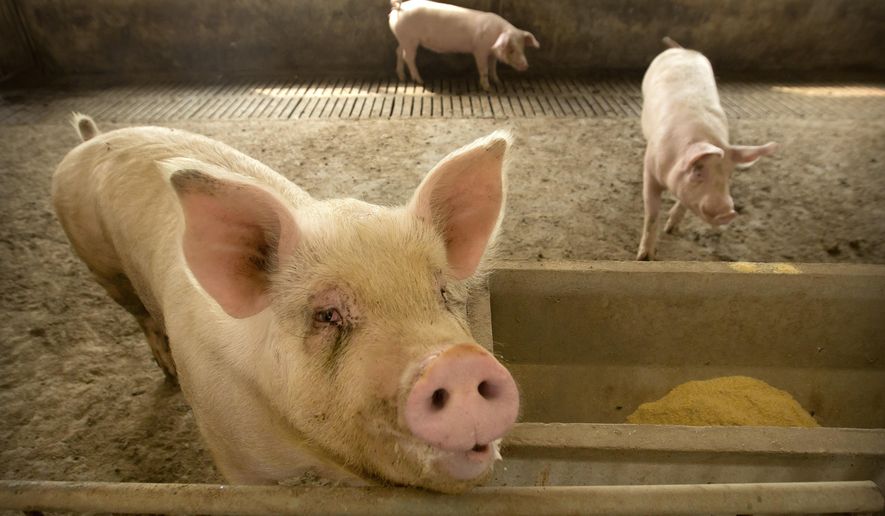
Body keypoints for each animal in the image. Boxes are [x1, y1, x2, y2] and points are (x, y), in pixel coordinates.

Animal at [52, 113, 520, 493]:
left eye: (441, 294)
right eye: (327, 315)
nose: (457, 361)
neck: (314, 454)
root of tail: (93, 138)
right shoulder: (230, 452)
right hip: (102, 265)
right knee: (140, 315)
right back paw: (166, 372)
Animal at [388, 0, 540, 92]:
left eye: (522, 48)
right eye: (511, 49)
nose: (525, 66)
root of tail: (399, 7)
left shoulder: (491, 53)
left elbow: (493, 67)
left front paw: (498, 82)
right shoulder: (480, 50)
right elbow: (484, 69)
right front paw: (487, 88)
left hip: (402, 39)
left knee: (398, 52)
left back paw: (402, 77)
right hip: (410, 39)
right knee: (408, 57)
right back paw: (420, 81)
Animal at [637, 37, 778, 260]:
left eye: (729, 175)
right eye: (698, 171)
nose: (728, 213)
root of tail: (682, 50)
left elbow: (683, 202)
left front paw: (672, 230)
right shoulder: (650, 170)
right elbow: (651, 213)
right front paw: (644, 257)